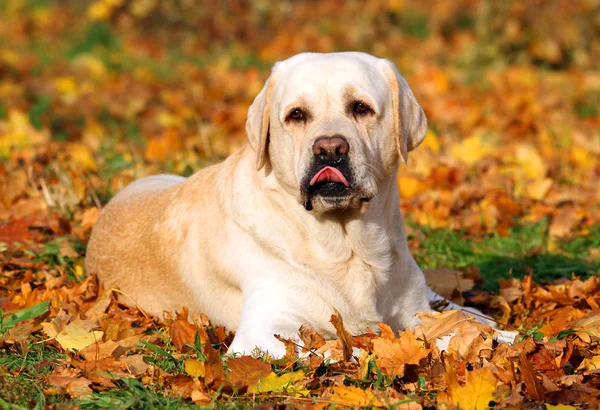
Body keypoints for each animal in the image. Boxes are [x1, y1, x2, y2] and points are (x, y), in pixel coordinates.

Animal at [84, 52, 506, 356]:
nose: (330, 149)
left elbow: (448, 326)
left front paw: (494, 336)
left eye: (361, 108)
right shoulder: (263, 336)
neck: (348, 247)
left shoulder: (412, 307)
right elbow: (342, 347)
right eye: (296, 115)